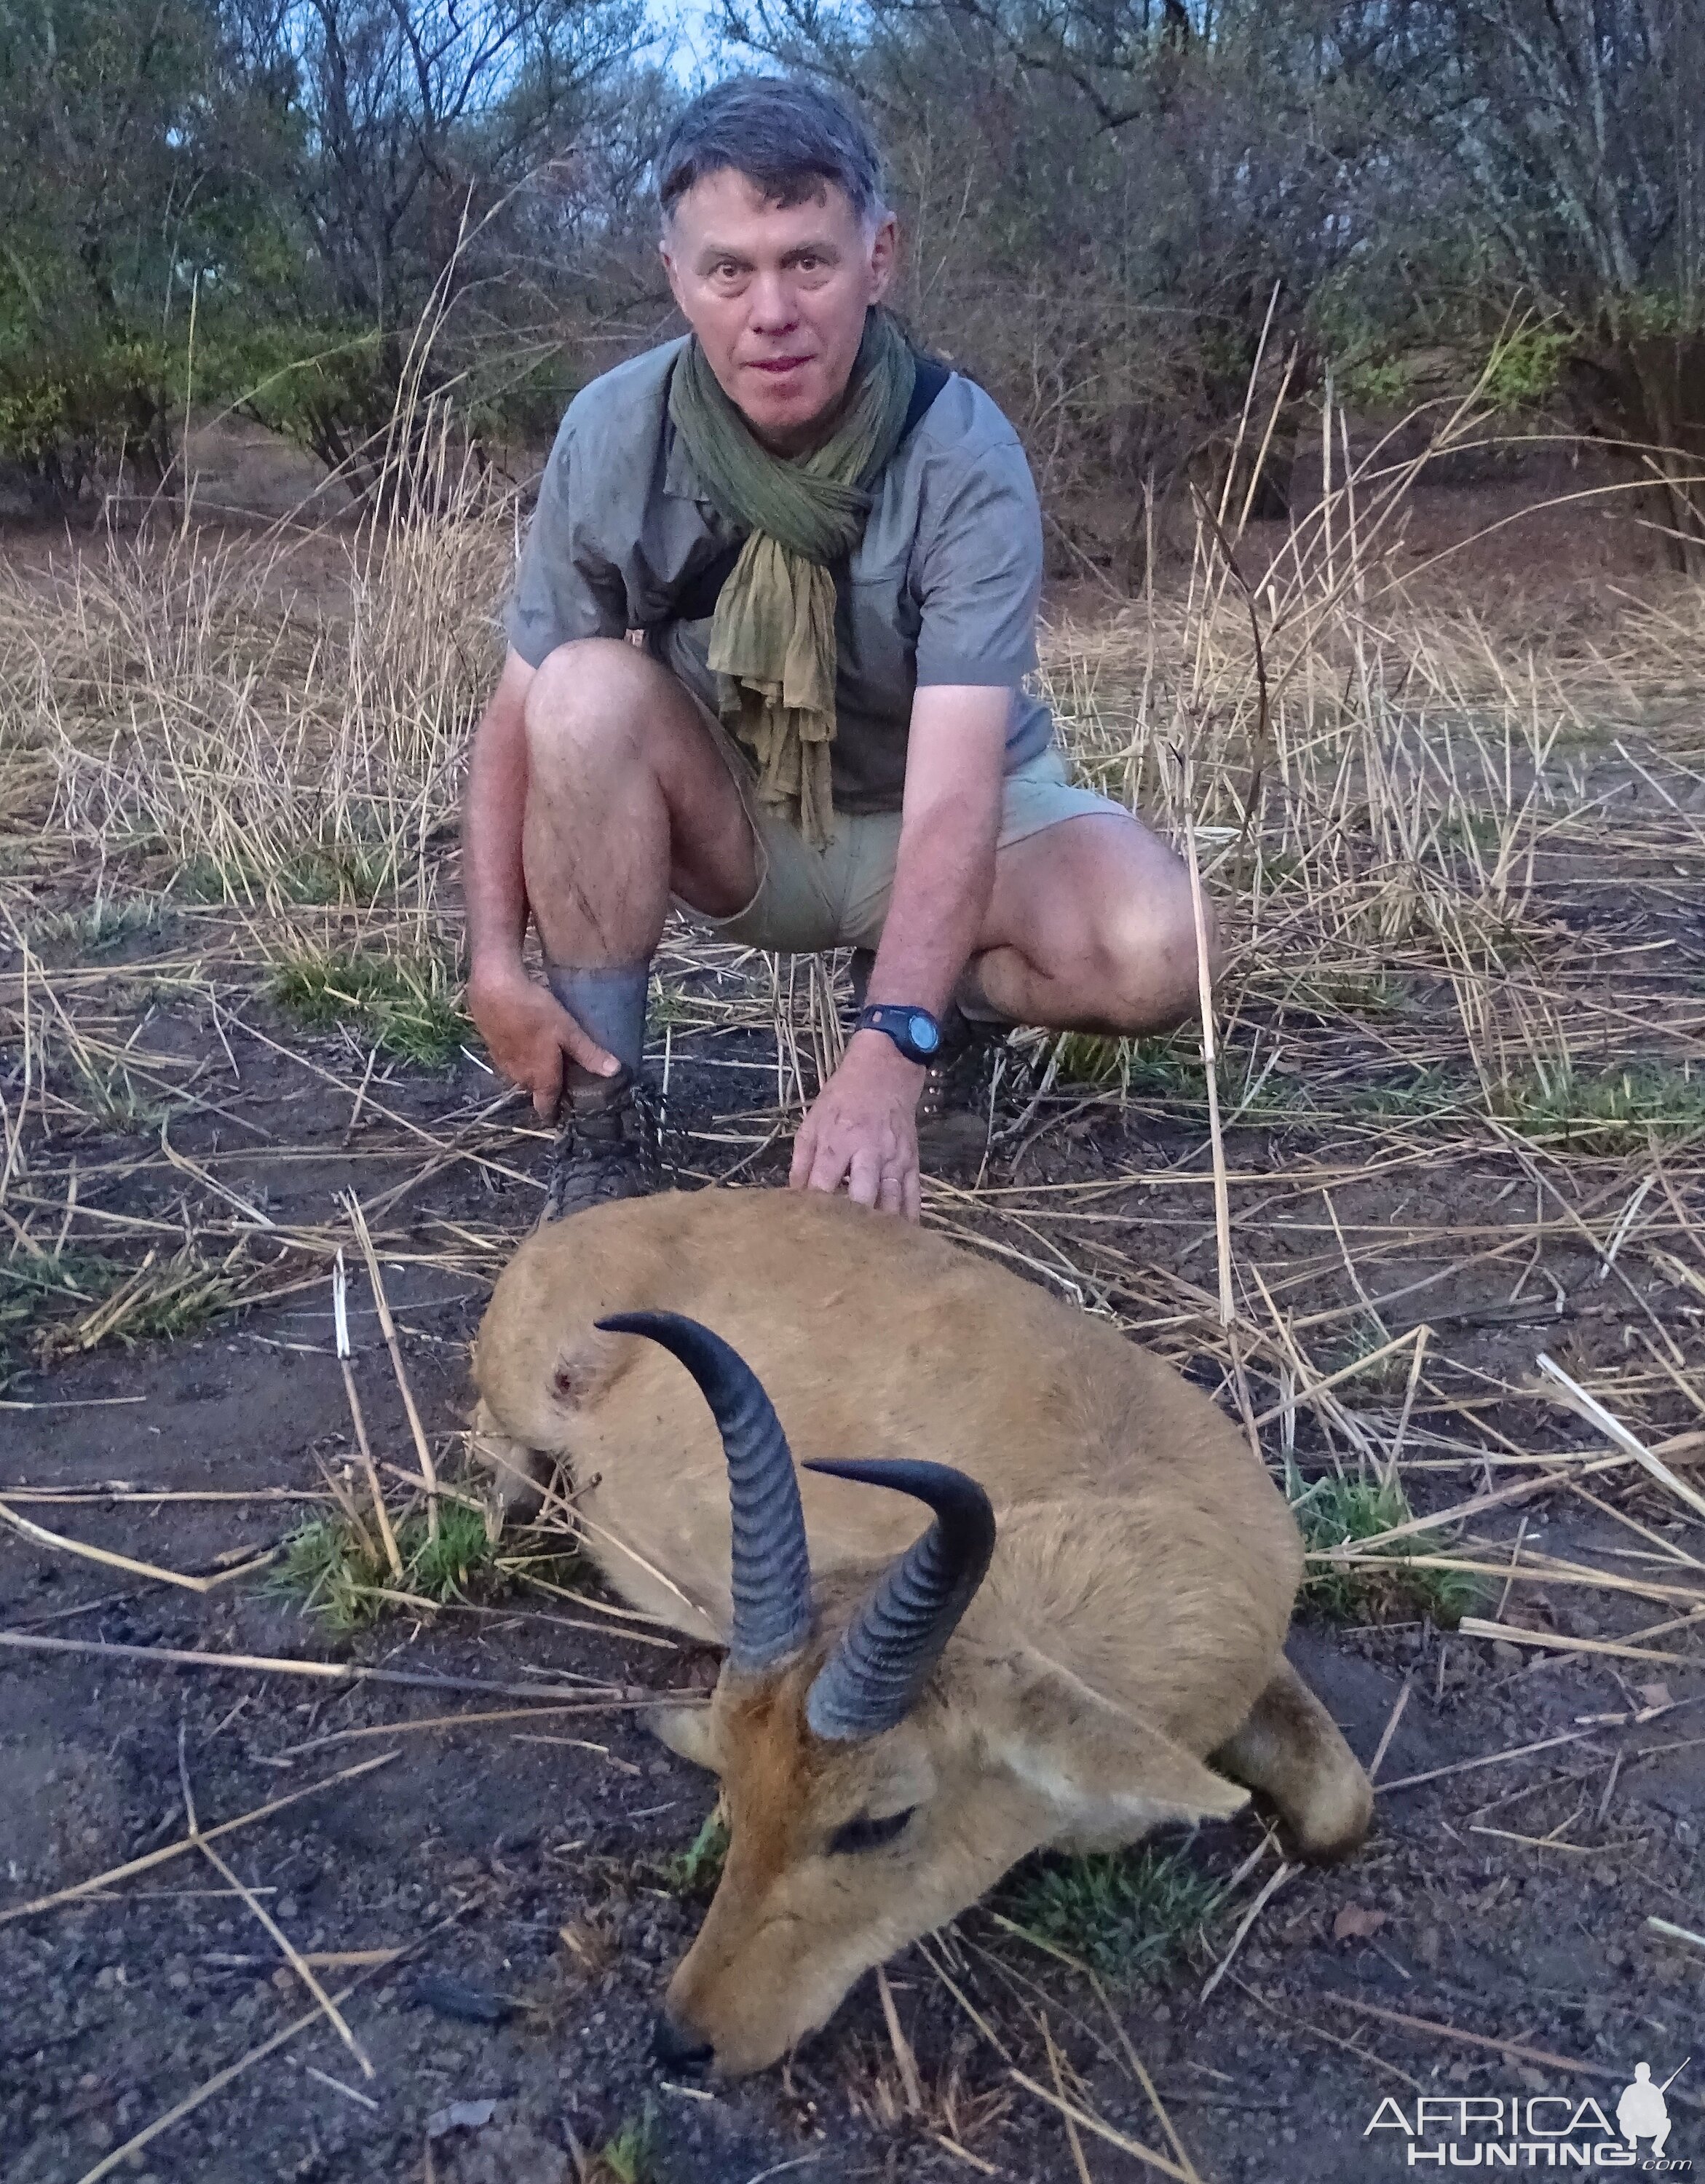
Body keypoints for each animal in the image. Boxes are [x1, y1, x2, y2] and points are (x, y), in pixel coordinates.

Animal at [469, 1188, 1371, 2070]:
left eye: (878, 1822)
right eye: (739, 1786)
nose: (684, 2039)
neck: (1145, 1522)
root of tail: (584, 1227)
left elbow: (1341, 1808)